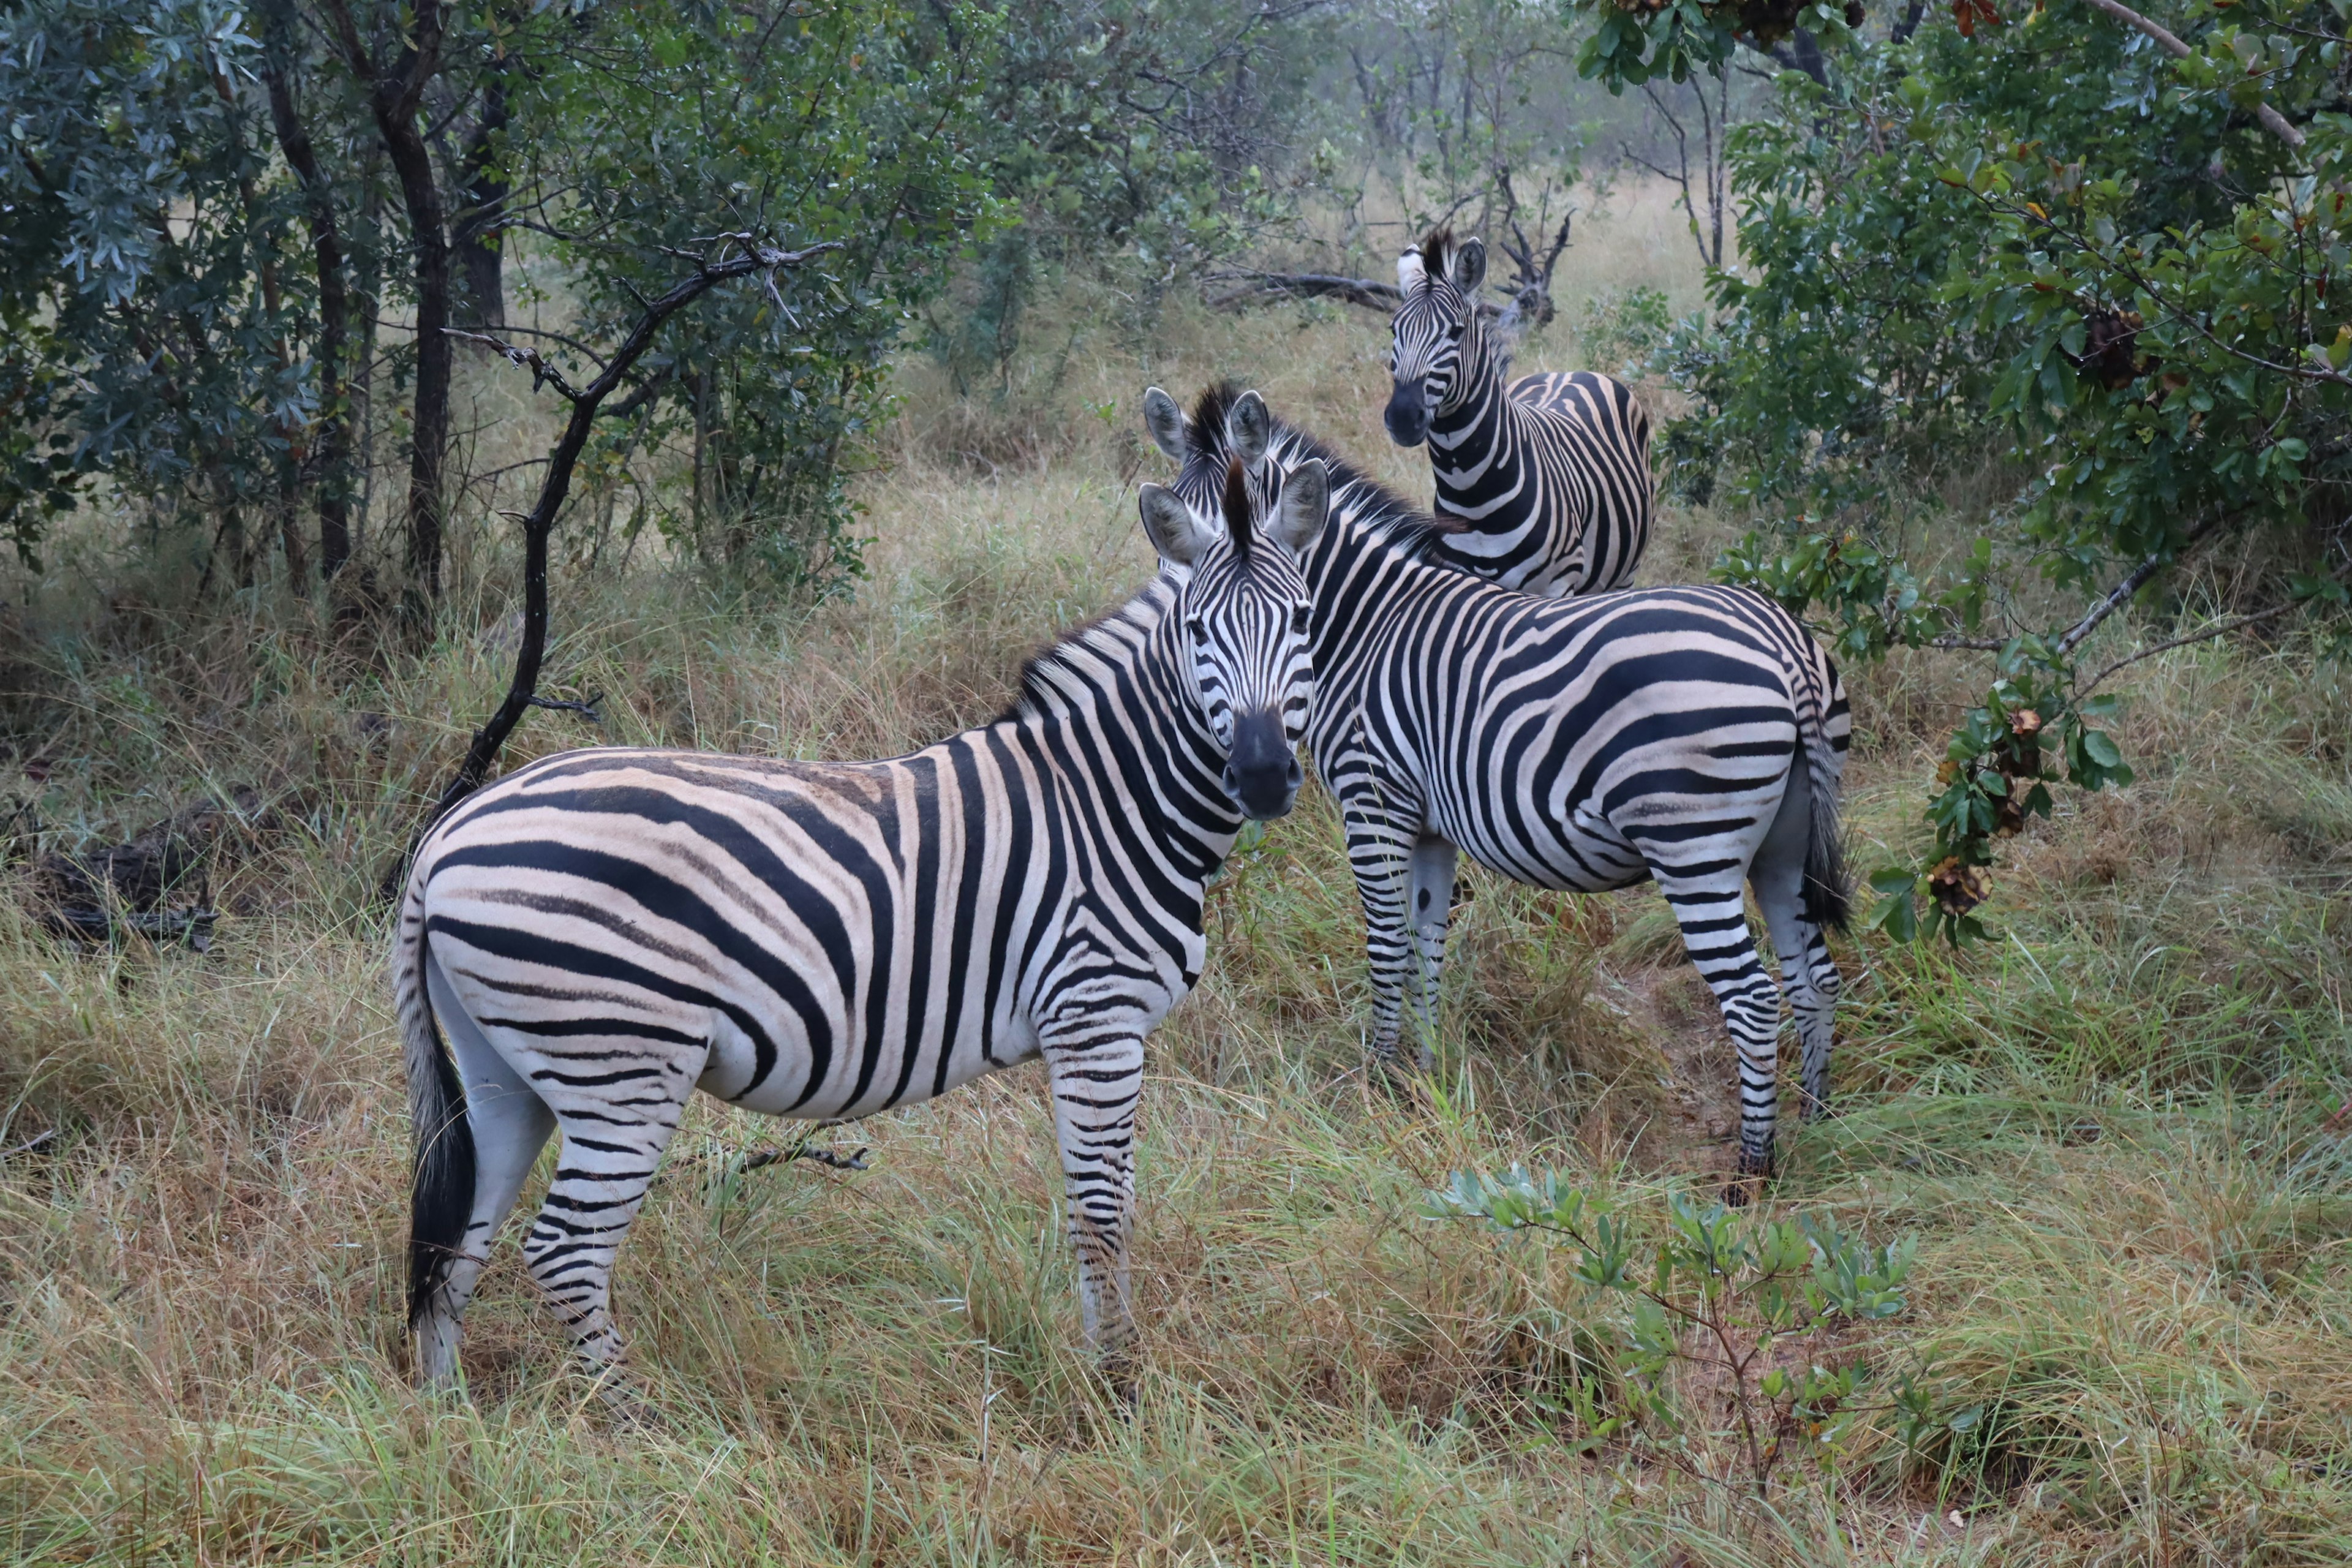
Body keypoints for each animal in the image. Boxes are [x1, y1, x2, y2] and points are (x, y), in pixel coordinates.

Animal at [395, 451, 1336, 1401]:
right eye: (1199, 631)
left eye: (1303, 620)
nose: (1264, 775)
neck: (1109, 799)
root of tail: (444, 837)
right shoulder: (1096, 1017)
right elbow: (1105, 1215)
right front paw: (1119, 1388)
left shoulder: (1094, 1026)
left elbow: (1104, 1208)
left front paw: (1111, 1374)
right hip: (621, 1059)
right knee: (565, 1252)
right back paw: (637, 1419)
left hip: (508, 1067)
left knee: (456, 1242)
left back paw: (453, 1418)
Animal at [1143, 385, 1853, 1185]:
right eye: (1172, 541)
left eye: (1292, 611)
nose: (1258, 771)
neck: (1364, 627)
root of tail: (1785, 646)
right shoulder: (1427, 822)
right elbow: (1426, 946)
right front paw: (1425, 1079)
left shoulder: (1374, 800)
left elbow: (1386, 945)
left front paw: (1377, 1084)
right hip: (1784, 846)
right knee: (1814, 978)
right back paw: (1817, 1121)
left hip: (1694, 847)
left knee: (1756, 999)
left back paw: (1751, 1169)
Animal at [1373, 227, 1656, 601]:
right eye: (1394, 329)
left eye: (1456, 332)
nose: (1403, 418)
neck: (1472, 494)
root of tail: (1570, 372)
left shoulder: (1557, 586)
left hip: (1627, 571)